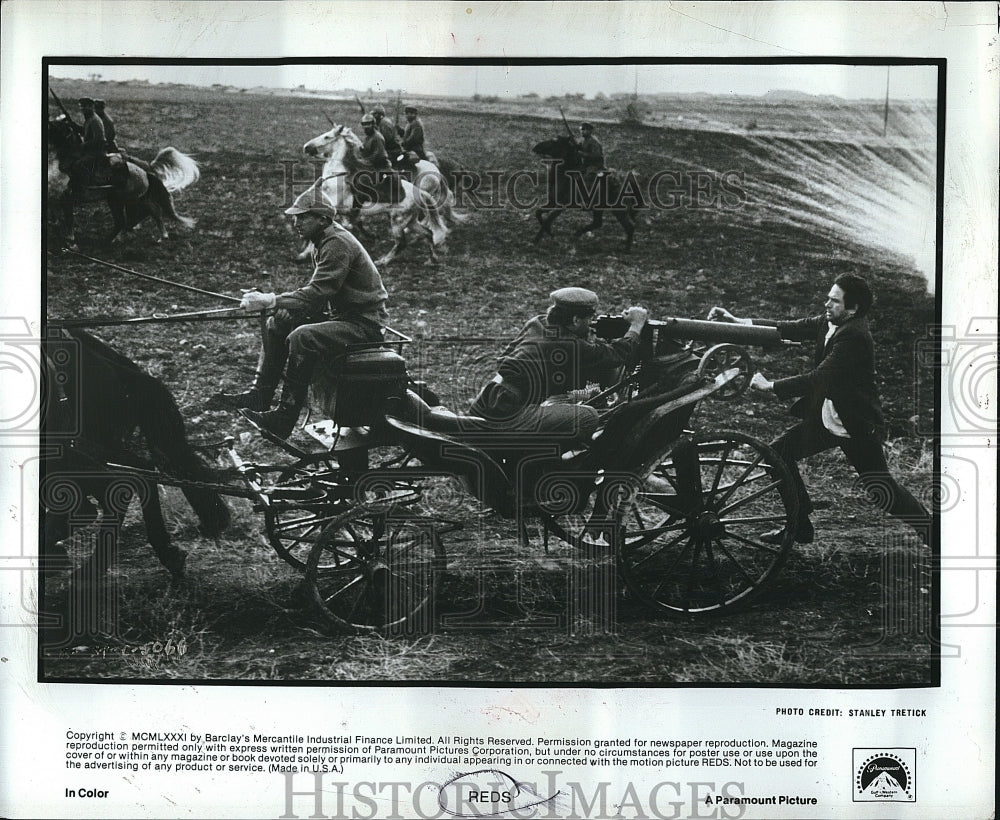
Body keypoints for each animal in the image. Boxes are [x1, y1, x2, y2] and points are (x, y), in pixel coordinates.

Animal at [47, 116, 201, 247]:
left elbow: (68, 218)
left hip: (119, 201)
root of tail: (146, 173)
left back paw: (111, 240)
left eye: (54, 127)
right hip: (131, 200)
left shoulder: (66, 197)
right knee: (147, 213)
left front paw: (70, 239)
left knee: (126, 220)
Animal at [300, 123, 450, 264]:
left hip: (398, 221)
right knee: (428, 233)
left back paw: (383, 261)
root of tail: (421, 193)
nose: (306, 147)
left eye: (327, 137)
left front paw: (303, 253)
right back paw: (431, 259)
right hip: (411, 221)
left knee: (401, 242)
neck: (337, 176)